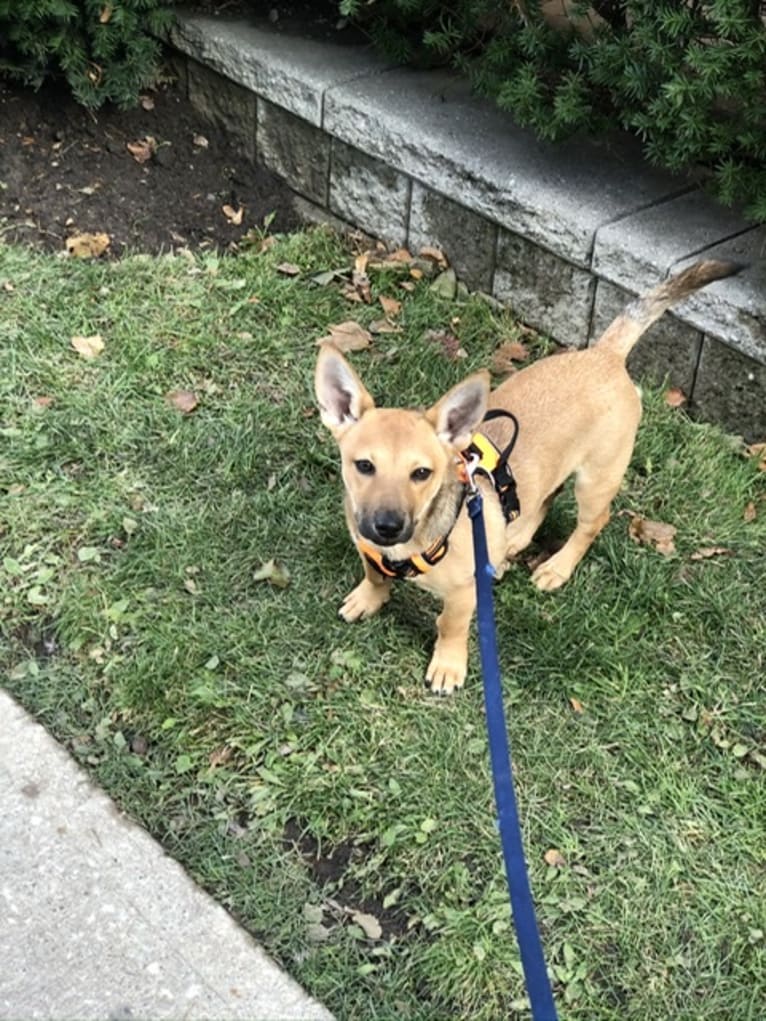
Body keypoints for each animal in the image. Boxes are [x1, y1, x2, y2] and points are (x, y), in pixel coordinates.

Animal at [314, 259, 739, 698]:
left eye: (422, 473)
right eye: (364, 465)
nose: (387, 526)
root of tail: (604, 354)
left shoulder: (464, 594)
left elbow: (450, 626)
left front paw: (448, 666)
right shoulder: (366, 547)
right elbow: (373, 575)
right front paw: (368, 598)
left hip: (597, 479)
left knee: (591, 523)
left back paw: (556, 568)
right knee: (543, 497)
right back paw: (513, 542)